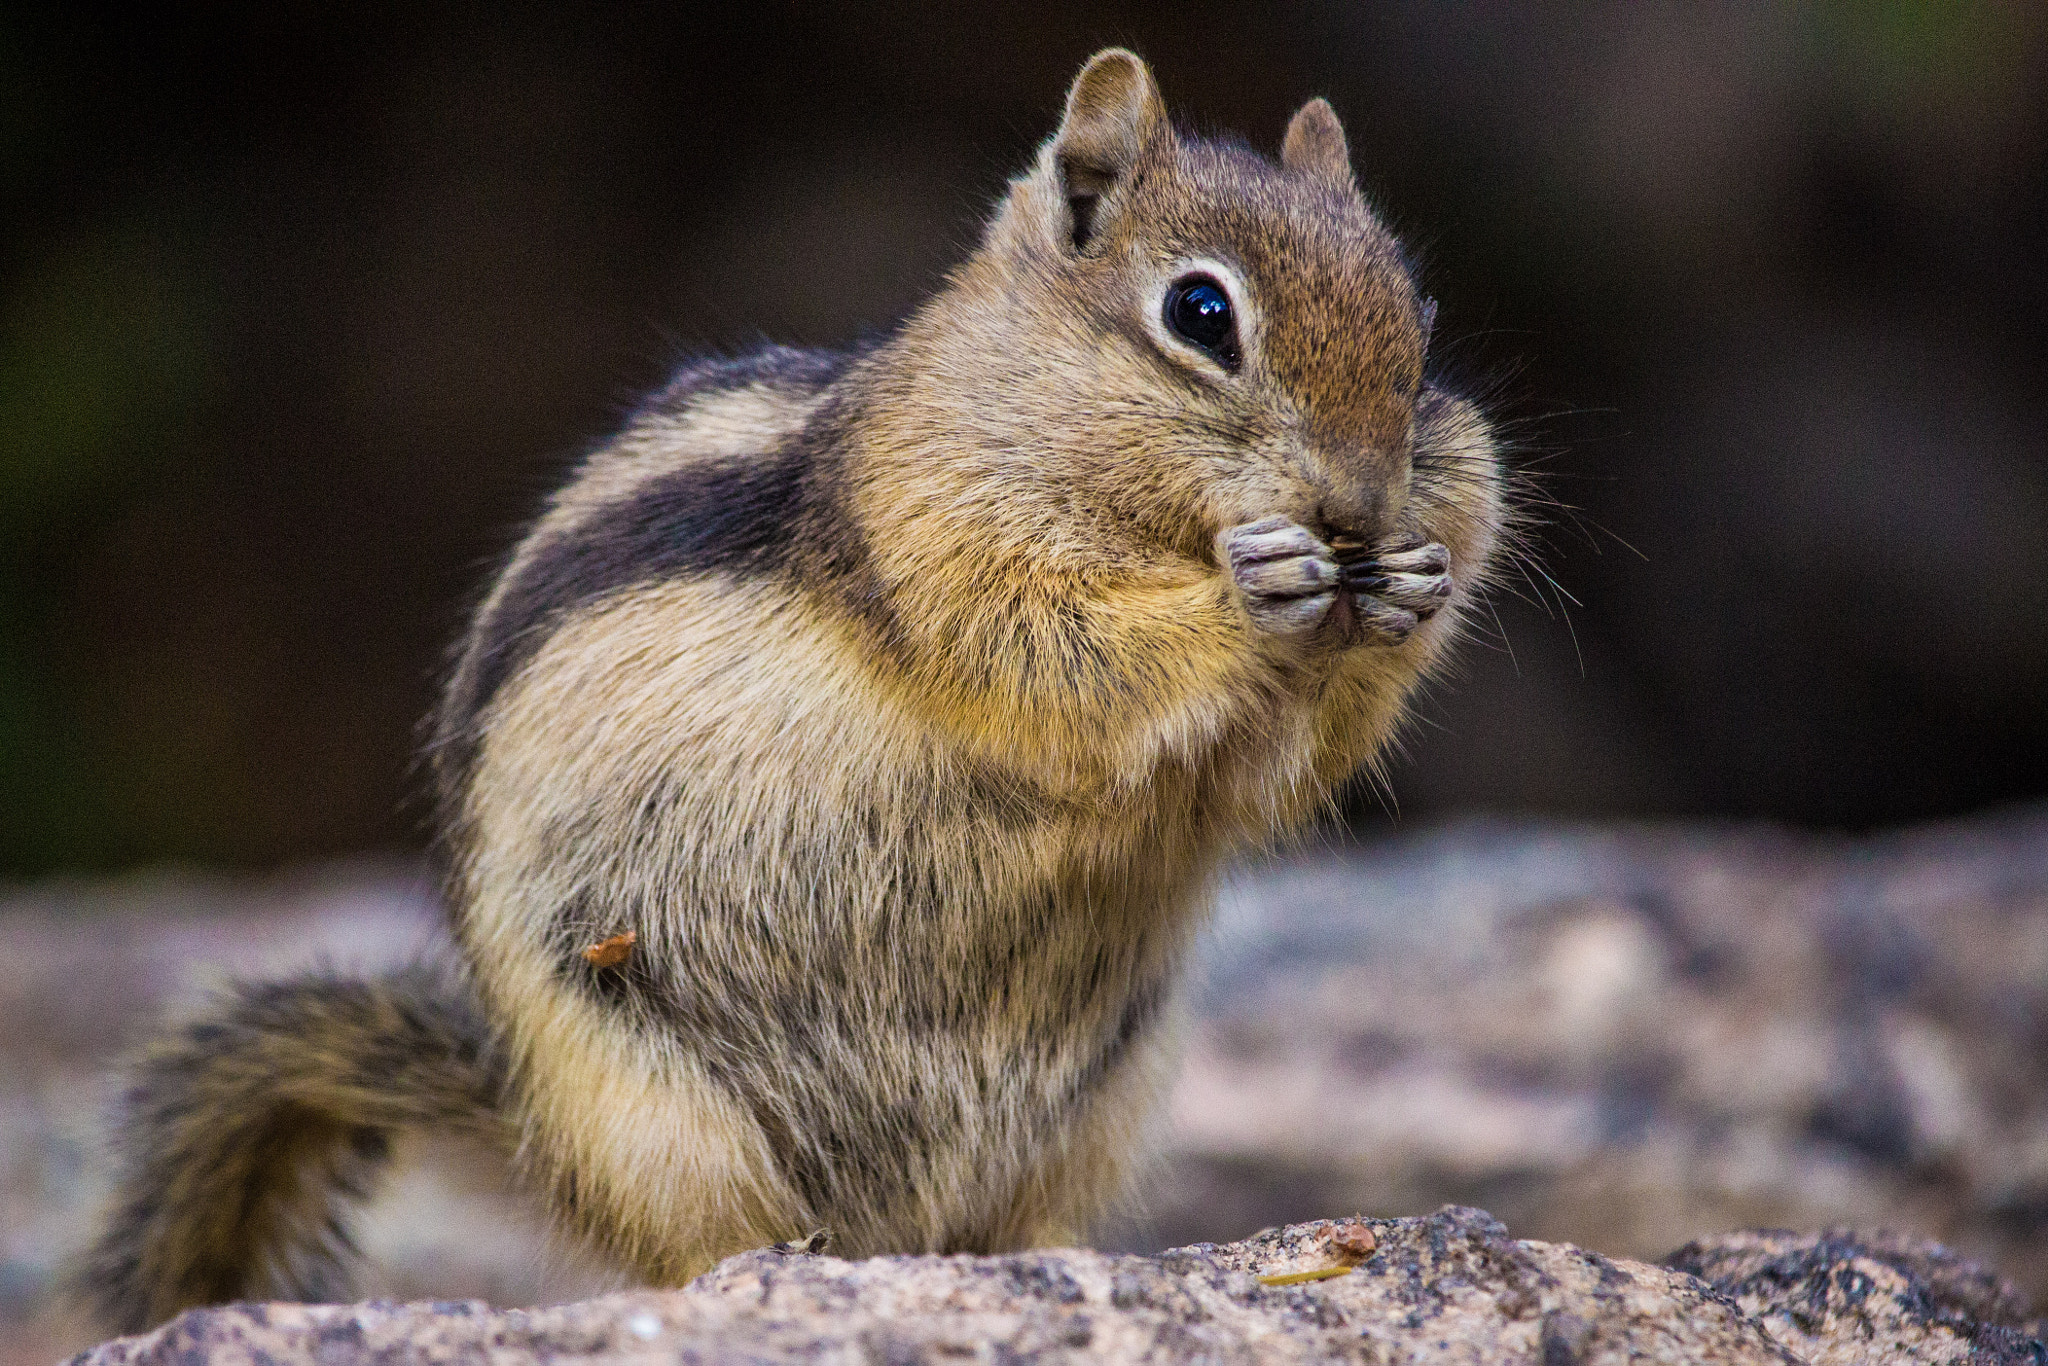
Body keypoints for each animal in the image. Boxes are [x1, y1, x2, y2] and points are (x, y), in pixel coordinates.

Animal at [75, 49, 1506, 1333]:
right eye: (1200, 315)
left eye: (1420, 320)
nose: (1359, 502)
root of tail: (539, 1143)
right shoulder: (934, 540)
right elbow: (1056, 656)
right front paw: (1251, 589)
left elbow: (1280, 771)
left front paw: (1408, 590)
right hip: (656, 1107)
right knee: (701, 1253)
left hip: (1104, 1097)